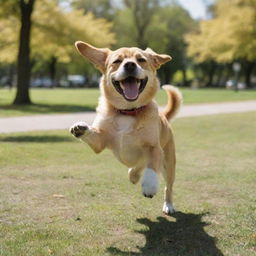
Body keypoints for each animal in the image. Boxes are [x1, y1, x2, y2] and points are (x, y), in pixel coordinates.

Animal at [69, 41, 182, 214]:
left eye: (141, 59)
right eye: (117, 61)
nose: (129, 65)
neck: (128, 112)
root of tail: (164, 117)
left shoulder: (154, 148)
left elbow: (152, 168)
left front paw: (149, 185)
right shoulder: (100, 141)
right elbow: (93, 133)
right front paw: (80, 128)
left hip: (168, 164)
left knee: (167, 186)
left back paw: (168, 205)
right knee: (138, 167)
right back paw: (133, 175)